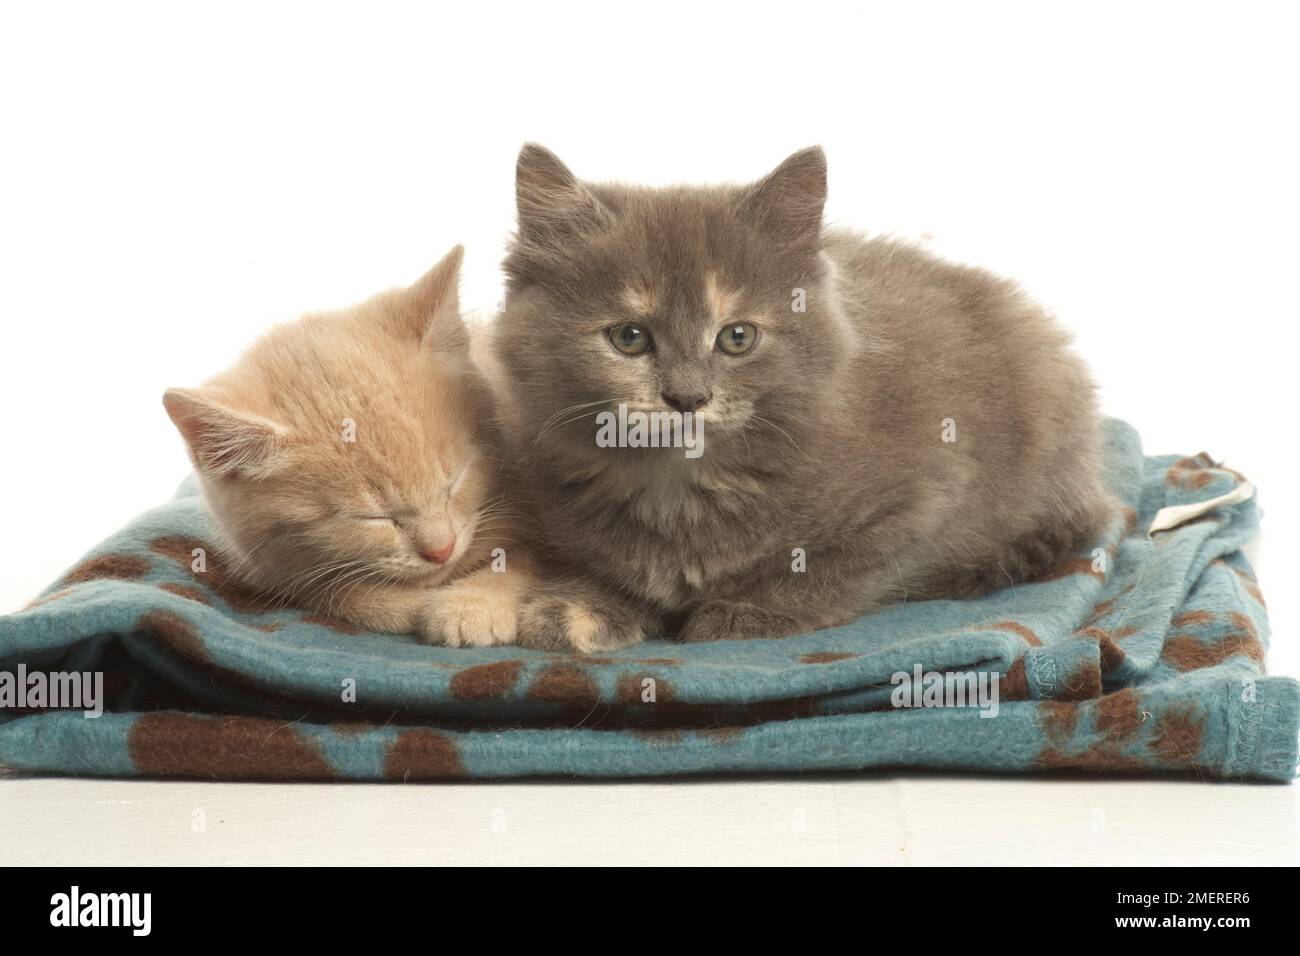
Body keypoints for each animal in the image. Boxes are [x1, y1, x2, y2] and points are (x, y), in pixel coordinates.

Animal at [162, 248, 533, 650]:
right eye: (370, 517)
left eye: (455, 482)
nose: (441, 550)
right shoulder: (271, 565)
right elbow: (335, 592)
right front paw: (401, 604)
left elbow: (522, 559)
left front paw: (472, 605)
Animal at [491, 143, 1112, 650]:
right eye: (629, 337)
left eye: (737, 337)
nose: (687, 397)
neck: (680, 482)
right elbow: (608, 564)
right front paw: (583, 605)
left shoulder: (921, 499)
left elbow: (831, 569)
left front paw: (748, 610)